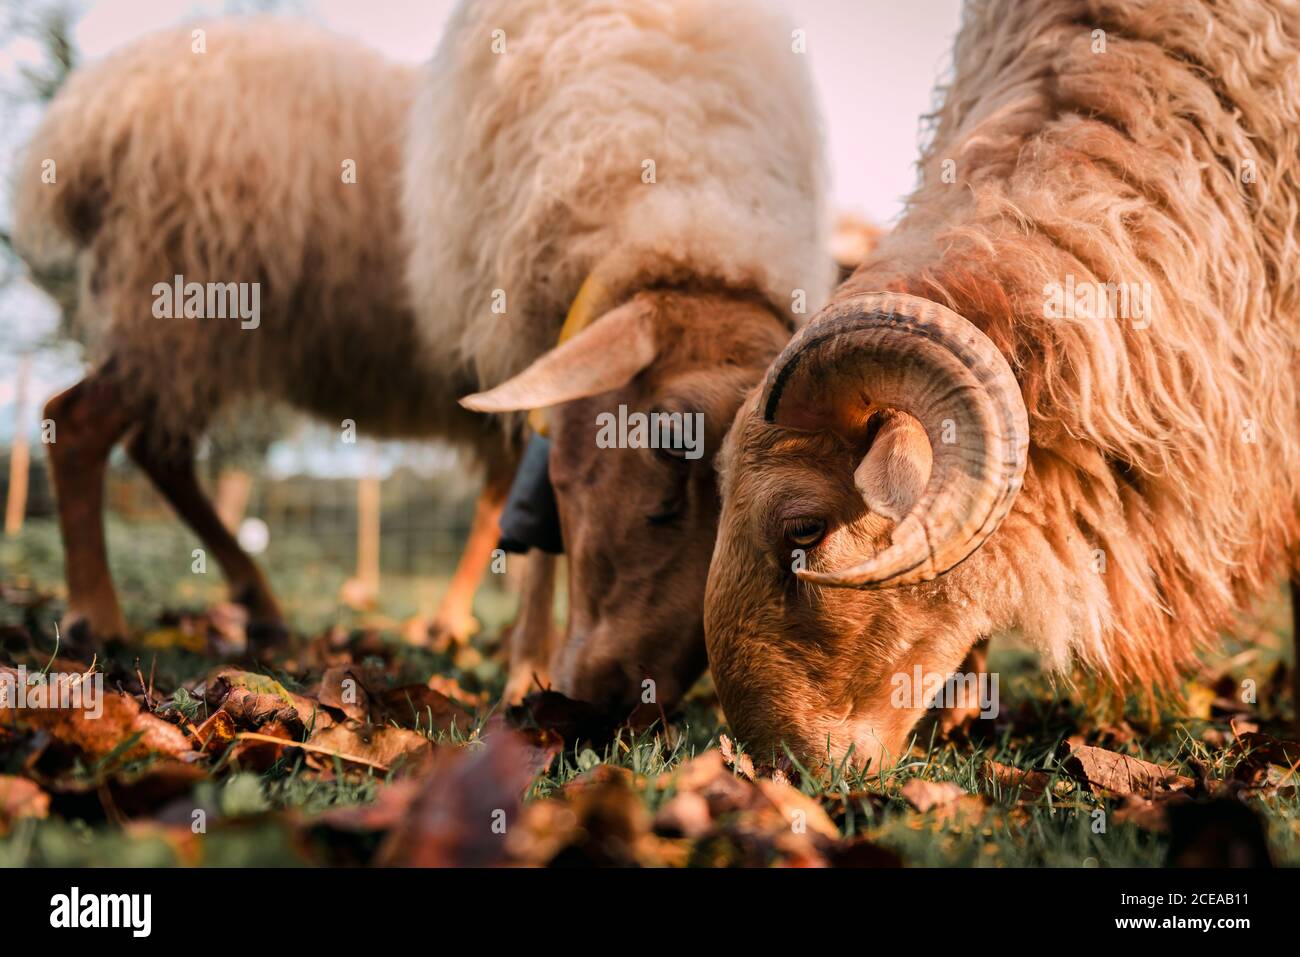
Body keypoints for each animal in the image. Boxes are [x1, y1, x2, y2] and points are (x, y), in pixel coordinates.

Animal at [12, 19, 513, 652]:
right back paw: (97, 615)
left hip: (193, 329)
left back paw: (258, 600)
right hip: (181, 300)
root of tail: (94, 117)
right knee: (79, 421)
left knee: (158, 450)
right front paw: (471, 633)